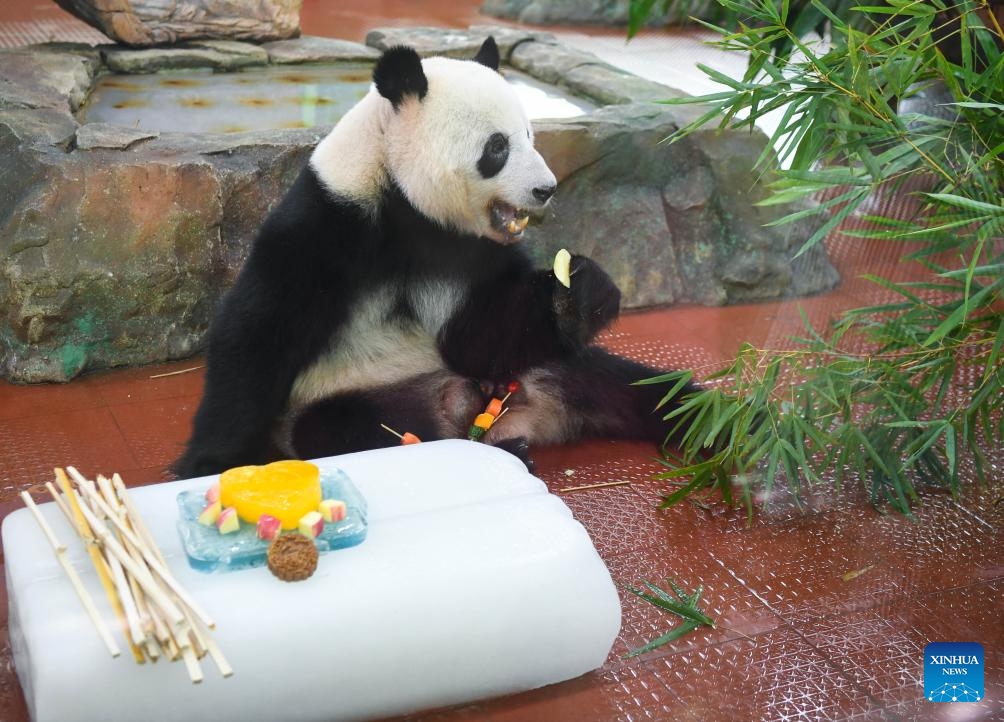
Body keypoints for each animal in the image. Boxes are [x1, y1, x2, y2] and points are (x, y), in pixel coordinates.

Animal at [172, 39, 694, 479]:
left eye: (530, 134)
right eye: (498, 146)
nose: (545, 189)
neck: (409, 206)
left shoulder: (471, 252)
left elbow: (479, 335)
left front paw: (579, 292)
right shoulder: (331, 222)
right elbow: (260, 332)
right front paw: (210, 463)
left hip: (545, 370)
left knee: (631, 386)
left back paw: (707, 430)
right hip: (348, 393)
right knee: (348, 429)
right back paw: (501, 451)